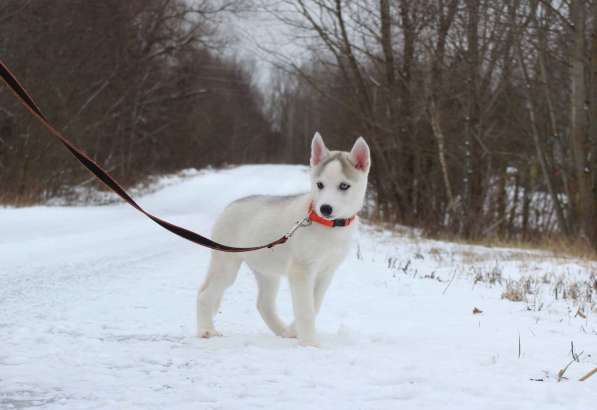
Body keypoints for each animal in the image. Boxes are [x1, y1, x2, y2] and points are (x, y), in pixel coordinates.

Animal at [198, 132, 370, 346]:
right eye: (320, 184)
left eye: (344, 186)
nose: (325, 208)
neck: (328, 226)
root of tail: (229, 206)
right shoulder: (301, 270)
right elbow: (306, 309)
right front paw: (310, 343)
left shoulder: (326, 272)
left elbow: (314, 304)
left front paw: (294, 331)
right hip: (226, 264)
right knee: (205, 294)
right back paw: (205, 330)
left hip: (267, 272)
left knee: (263, 304)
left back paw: (283, 331)